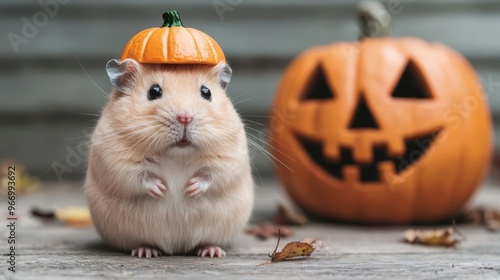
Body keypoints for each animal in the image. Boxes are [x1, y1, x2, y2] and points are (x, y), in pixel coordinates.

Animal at [84, 58, 254, 258]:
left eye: (207, 92)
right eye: (154, 91)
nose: (185, 118)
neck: (177, 154)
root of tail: (177, 249)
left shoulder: (230, 157)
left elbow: (212, 176)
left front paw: (190, 188)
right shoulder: (114, 159)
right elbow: (138, 176)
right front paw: (162, 189)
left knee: (207, 242)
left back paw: (211, 251)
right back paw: (146, 251)